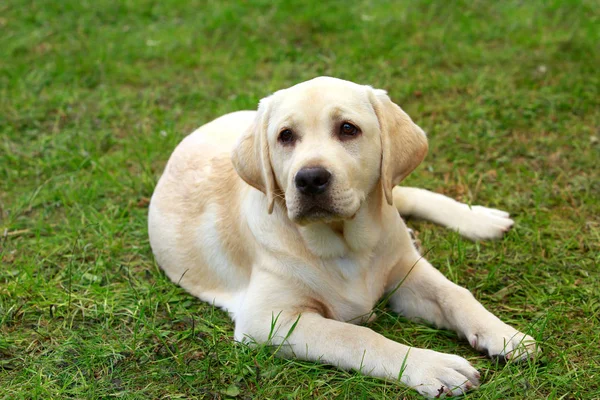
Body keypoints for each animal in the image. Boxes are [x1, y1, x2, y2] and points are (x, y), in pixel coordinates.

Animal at [146, 77, 540, 396]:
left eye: (348, 129)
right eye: (285, 136)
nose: (309, 179)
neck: (347, 245)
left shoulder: (405, 272)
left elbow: (454, 294)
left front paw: (503, 333)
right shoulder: (267, 320)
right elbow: (353, 335)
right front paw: (432, 366)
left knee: (402, 193)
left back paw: (478, 219)